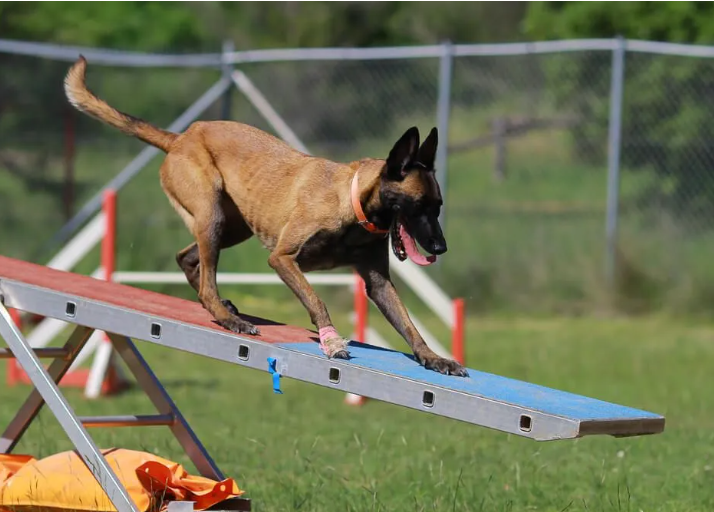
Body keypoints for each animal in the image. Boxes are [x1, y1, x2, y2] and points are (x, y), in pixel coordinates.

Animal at [64, 56, 468, 376]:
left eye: (439, 206)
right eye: (419, 206)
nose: (441, 248)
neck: (352, 202)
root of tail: (180, 137)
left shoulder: (379, 283)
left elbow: (409, 325)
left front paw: (433, 357)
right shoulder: (283, 259)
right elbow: (316, 300)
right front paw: (331, 340)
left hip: (232, 227)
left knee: (188, 259)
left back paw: (219, 306)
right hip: (211, 214)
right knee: (206, 275)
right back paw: (228, 317)